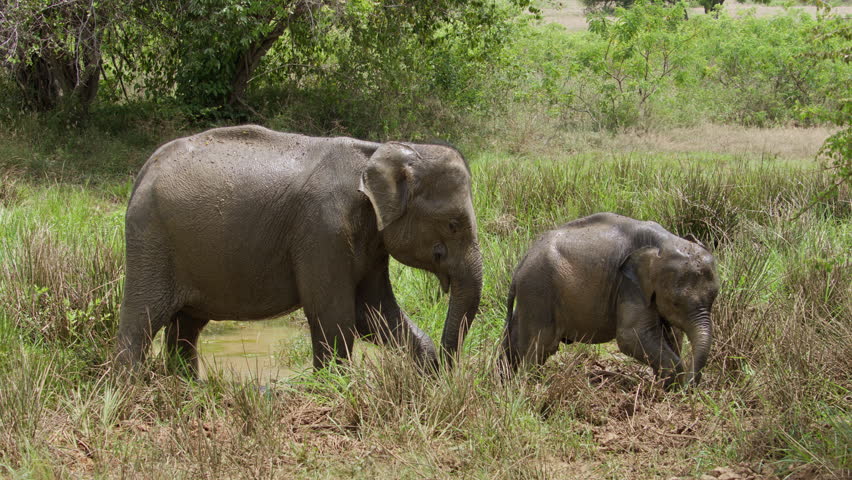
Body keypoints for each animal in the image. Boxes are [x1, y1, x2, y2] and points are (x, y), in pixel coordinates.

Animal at [115, 125, 483, 376]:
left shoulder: (370, 242)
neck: (380, 151)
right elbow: (336, 315)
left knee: (186, 327)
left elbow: (375, 314)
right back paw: (131, 390)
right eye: (453, 224)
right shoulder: (323, 230)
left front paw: (426, 372)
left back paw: (188, 388)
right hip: (151, 242)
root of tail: (145, 170)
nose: (446, 372)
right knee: (142, 321)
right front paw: (334, 389)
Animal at [501, 213, 719, 389]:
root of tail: (522, 263)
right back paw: (527, 386)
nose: (689, 390)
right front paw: (671, 387)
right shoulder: (629, 287)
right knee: (541, 345)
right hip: (539, 291)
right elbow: (631, 337)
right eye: (675, 302)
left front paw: (666, 386)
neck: (665, 243)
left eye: (715, 297)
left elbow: (672, 334)